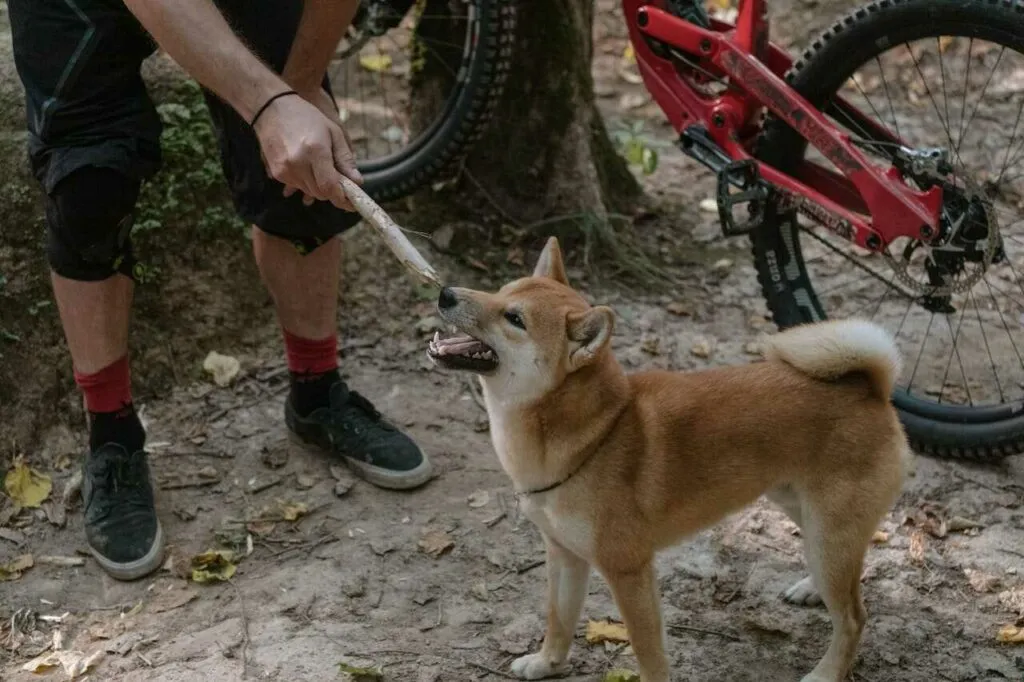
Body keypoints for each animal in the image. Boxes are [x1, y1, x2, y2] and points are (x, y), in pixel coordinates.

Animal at [428, 237, 909, 679]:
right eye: (500, 290)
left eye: (515, 319)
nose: (446, 293)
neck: (596, 433)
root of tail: (868, 388)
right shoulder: (564, 556)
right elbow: (559, 619)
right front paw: (547, 663)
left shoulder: (628, 571)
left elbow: (647, 651)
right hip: (804, 512)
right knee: (847, 569)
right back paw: (812, 587)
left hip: (830, 531)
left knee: (853, 617)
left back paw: (827, 670)